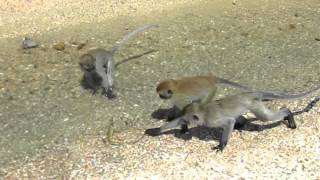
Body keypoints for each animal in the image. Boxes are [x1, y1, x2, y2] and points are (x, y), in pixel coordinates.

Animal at [146, 84, 320, 150]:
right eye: (185, 119)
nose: (185, 123)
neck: (202, 110)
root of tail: (250, 93)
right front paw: (156, 130)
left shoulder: (211, 120)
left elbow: (228, 122)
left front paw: (222, 145)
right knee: (240, 118)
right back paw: (243, 124)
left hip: (254, 105)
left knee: (265, 117)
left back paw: (288, 114)